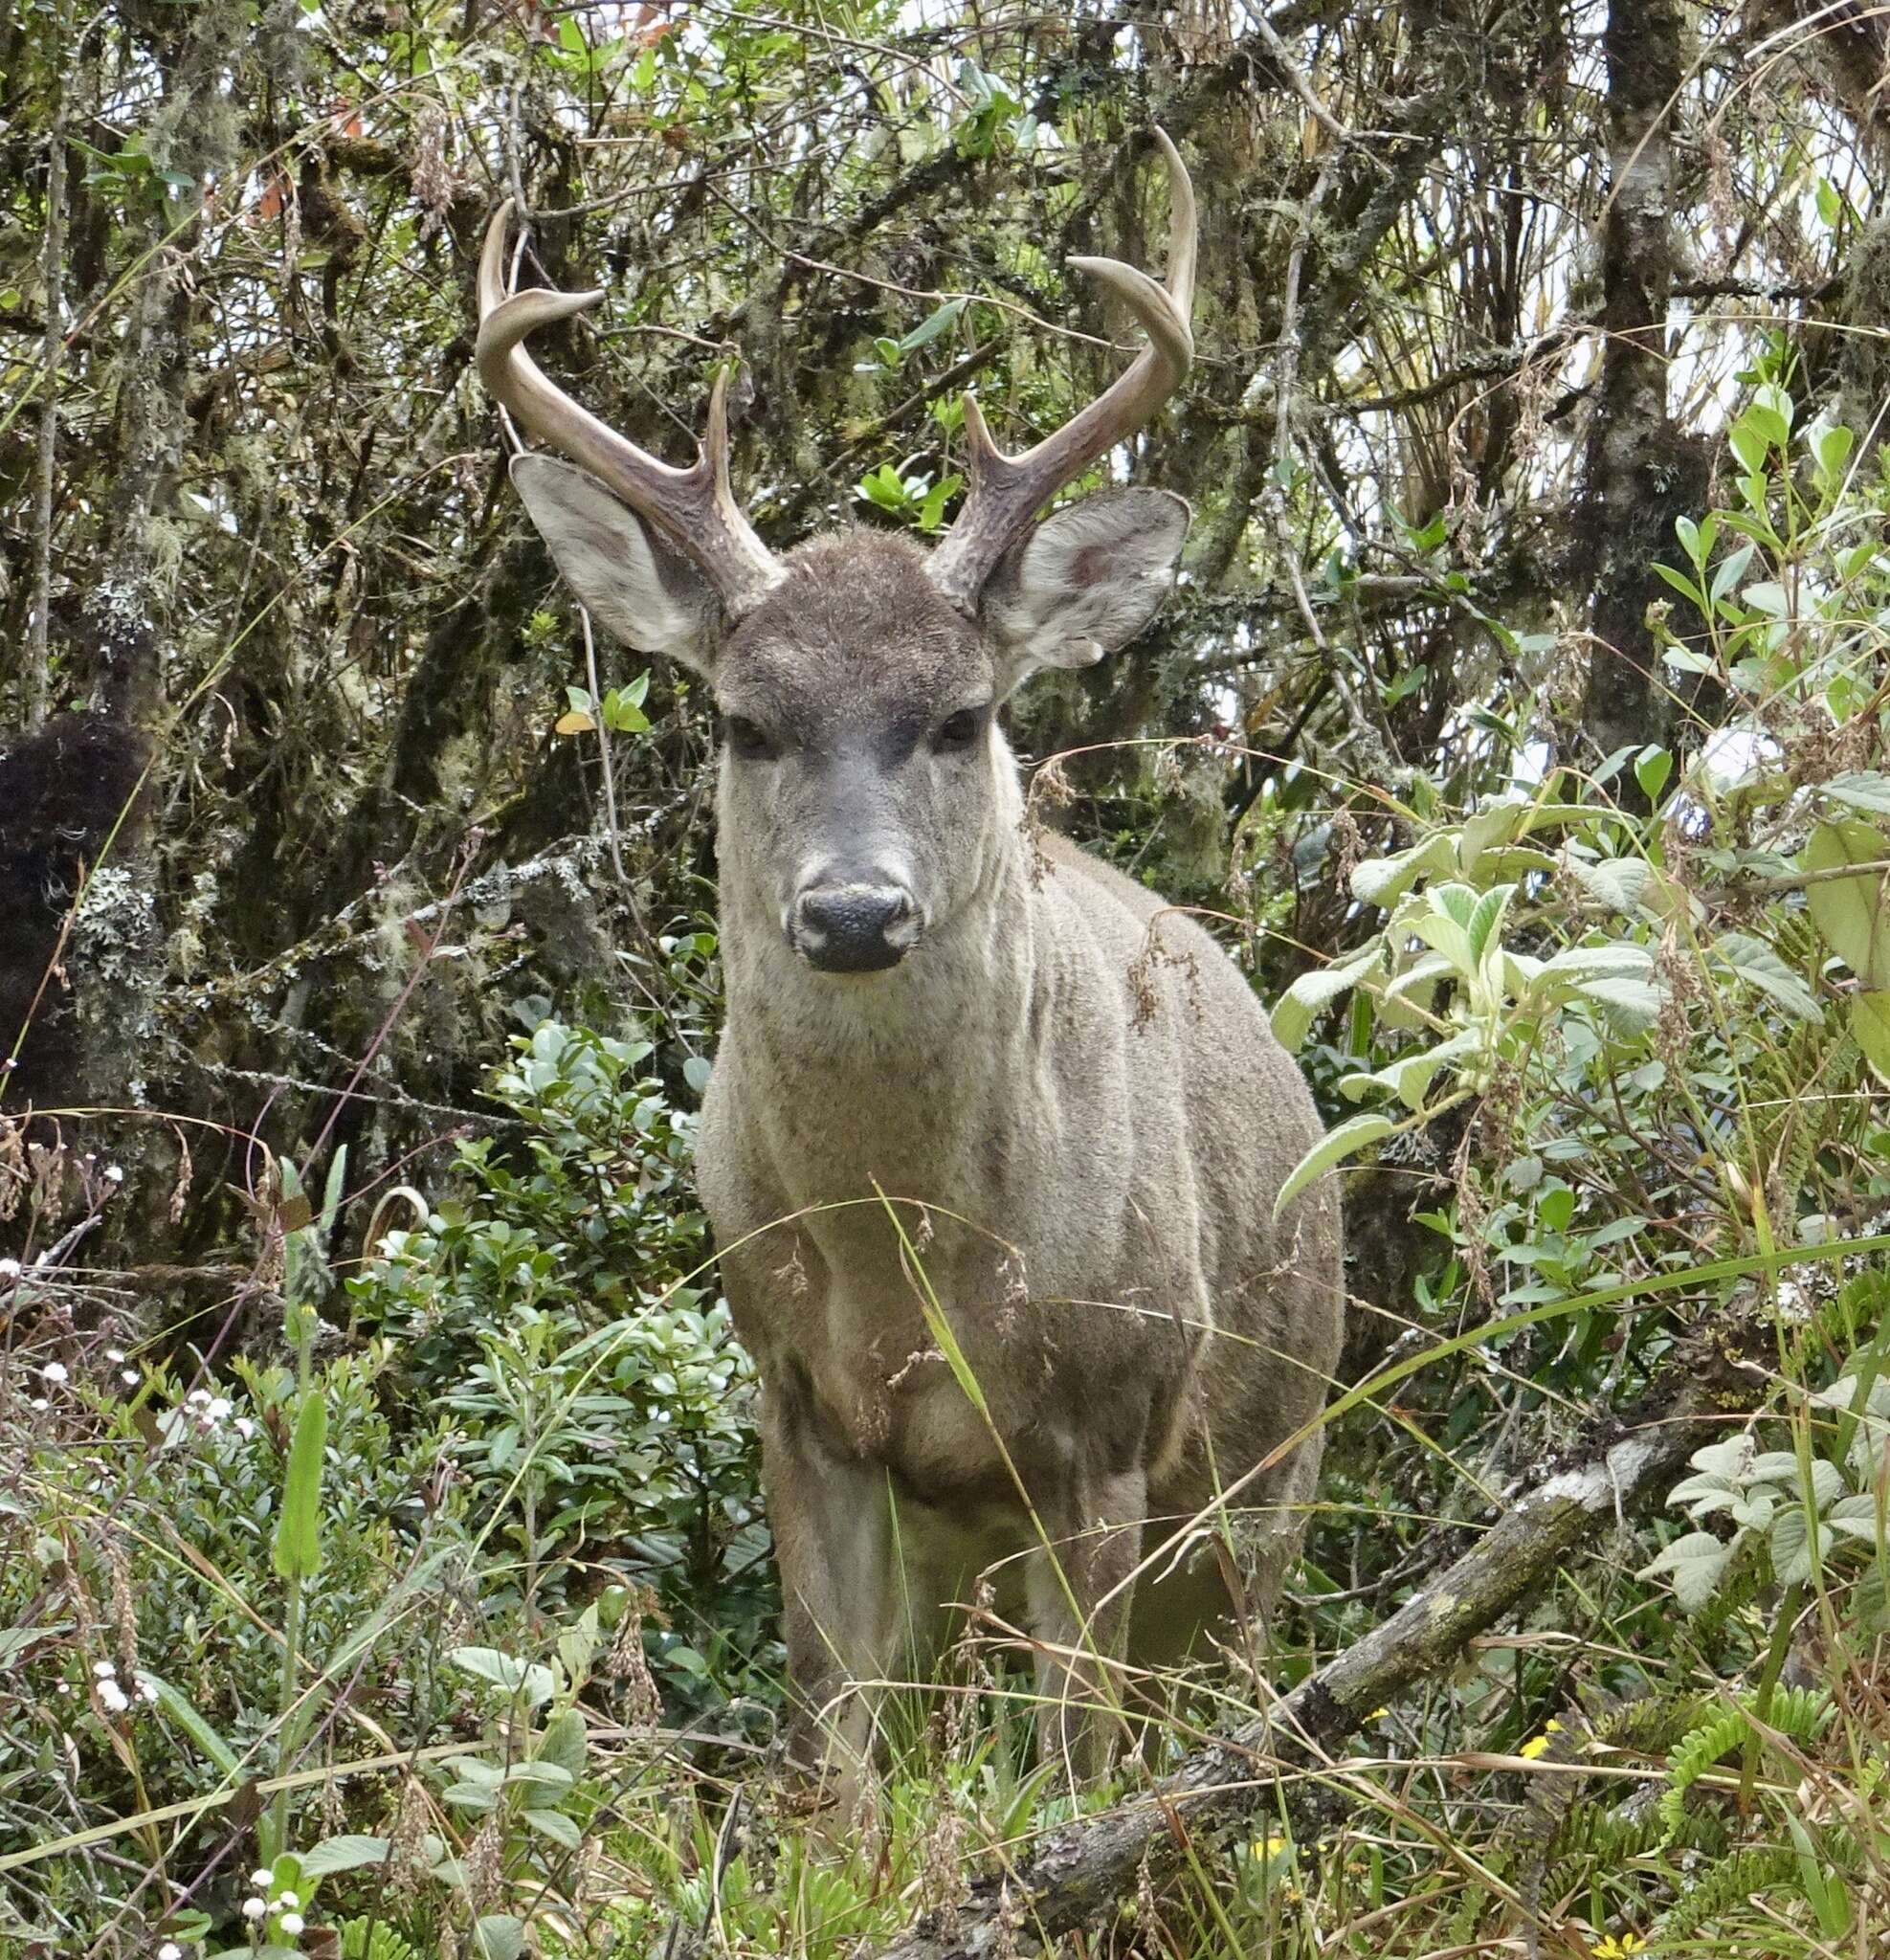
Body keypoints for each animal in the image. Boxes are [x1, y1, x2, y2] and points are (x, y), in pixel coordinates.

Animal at [479, 134, 1348, 1803]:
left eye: (960, 714)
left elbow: (1073, 1763)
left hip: (1268, 1472)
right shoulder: (798, 1400)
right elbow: (830, 1755)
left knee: (1210, 1711)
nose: (853, 915)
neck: (907, 1273)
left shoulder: (1109, 1421)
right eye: (742, 720)